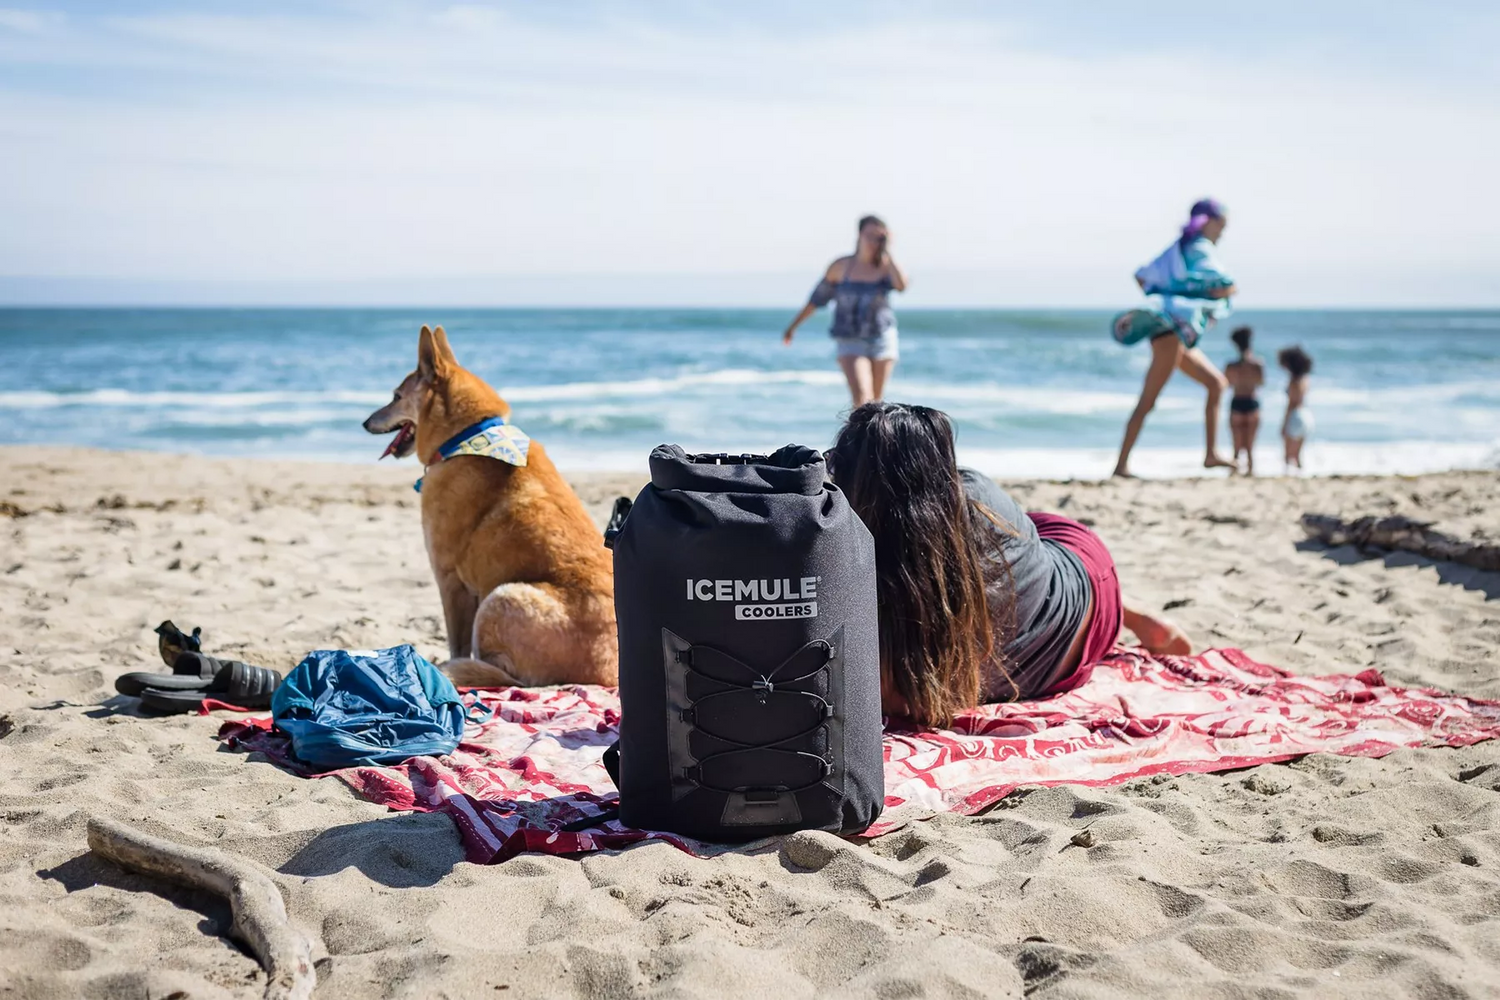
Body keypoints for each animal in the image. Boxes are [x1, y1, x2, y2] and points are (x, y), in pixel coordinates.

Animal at [361, 326, 615, 689]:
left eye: (396, 396)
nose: (366, 422)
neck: (467, 436)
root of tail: (606, 677)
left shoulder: (449, 579)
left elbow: (456, 641)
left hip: (502, 597)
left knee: (504, 676)